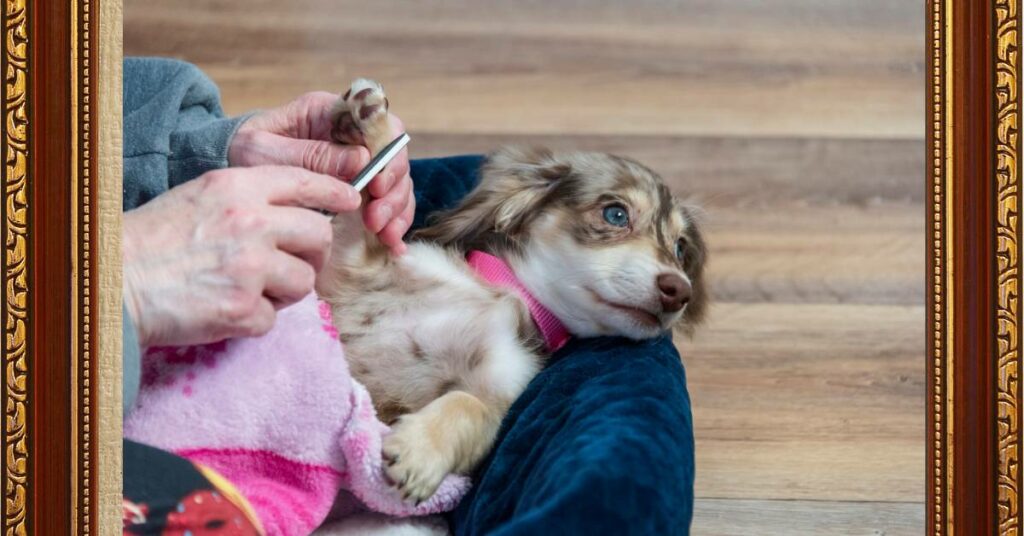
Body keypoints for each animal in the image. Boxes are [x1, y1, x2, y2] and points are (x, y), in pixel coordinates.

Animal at [319, 78, 704, 504]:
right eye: (616, 214)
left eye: (680, 249)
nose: (679, 291)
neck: (501, 296)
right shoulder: (353, 258)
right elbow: (366, 197)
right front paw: (372, 118)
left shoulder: (499, 390)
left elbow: (466, 405)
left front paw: (420, 450)